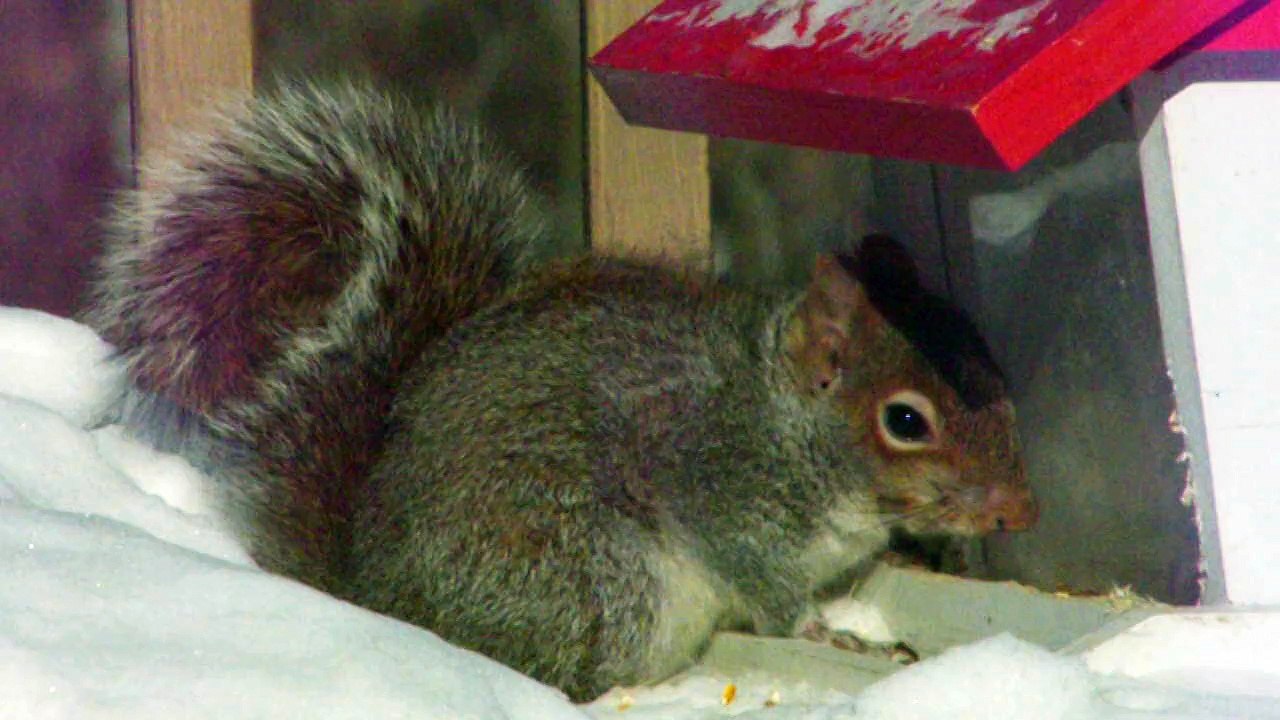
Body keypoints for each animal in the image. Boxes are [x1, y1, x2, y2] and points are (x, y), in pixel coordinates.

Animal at [86, 82, 1035, 702]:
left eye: (995, 371)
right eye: (905, 420)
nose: (1018, 510)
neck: (779, 416)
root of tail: (382, 597)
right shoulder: (718, 484)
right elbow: (766, 586)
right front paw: (824, 629)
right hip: (592, 574)